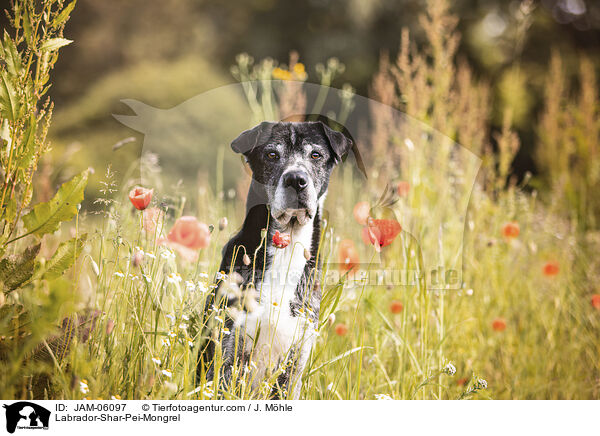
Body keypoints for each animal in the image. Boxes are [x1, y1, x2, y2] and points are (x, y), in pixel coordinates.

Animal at [199, 119, 354, 398]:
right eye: (272, 154)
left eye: (316, 155)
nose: (296, 179)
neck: (286, 250)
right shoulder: (229, 353)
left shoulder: (294, 364)